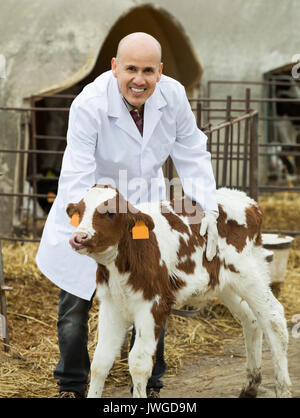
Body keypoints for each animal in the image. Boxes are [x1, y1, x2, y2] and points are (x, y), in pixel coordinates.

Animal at [67, 185, 290, 396]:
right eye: (79, 211)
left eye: (111, 212)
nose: (79, 237)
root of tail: (249, 202)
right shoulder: (112, 304)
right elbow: (100, 362)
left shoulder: (153, 305)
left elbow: (138, 364)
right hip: (225, 284)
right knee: (251, 318)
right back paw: (250, 386)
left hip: (248, 273)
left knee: (274, 318)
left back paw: (283, 388)